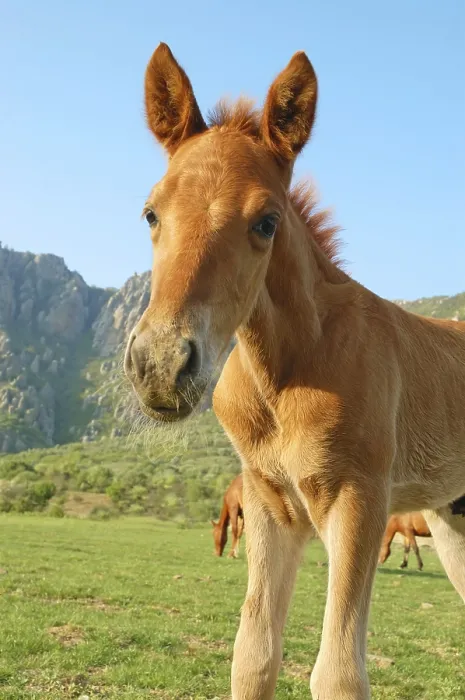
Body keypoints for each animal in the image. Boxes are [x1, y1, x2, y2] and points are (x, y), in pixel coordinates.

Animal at [124, 43, 465, 700]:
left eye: (266, 221)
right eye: (151, 212)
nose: (160, 365)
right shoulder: (268, 504)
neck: (288, 374)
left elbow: (337, 673)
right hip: (452, 517)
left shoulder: (360, 500)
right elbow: (254, 656)